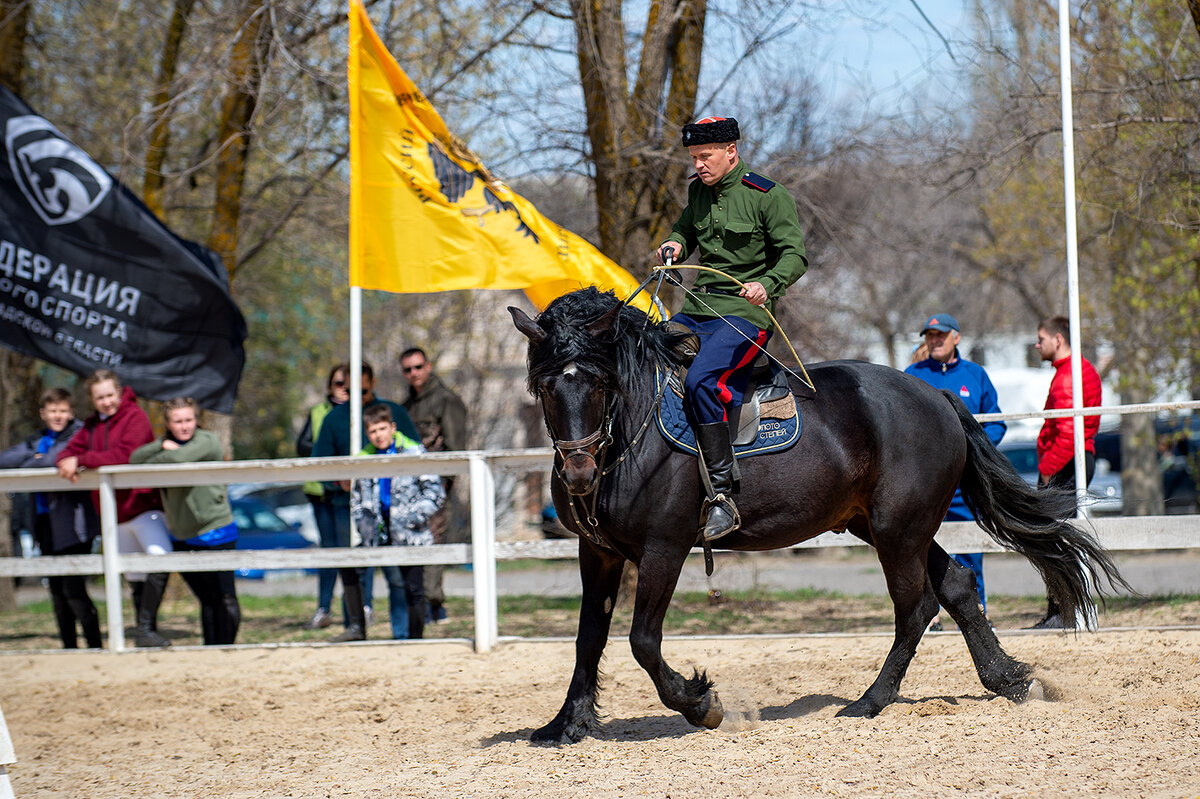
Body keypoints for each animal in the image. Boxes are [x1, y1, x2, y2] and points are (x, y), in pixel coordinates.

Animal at [506, 286, 1123, 739]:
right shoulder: (599, 553)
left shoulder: (664, 549)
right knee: (957, 586)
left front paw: (701, 704)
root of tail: (934, 395)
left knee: (916, 607)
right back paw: (1008, 679)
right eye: (545, 386)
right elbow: (589, 637)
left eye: (597, 381)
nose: (578, 475)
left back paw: (871, 701)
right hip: (885, 526)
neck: (632, 429)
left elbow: (642, 641)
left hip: (899, 530)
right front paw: (567, 724)